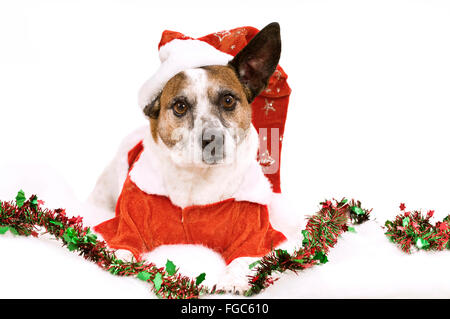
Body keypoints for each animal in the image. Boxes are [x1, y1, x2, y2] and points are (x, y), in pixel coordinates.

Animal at [88, 23, 302, 296]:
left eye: (228, 100)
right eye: (180, 106)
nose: (213, 139)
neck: (197, 178)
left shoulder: (255, 234)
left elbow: (247, 258)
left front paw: (234, 279)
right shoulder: (128, 223)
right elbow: (122, 246)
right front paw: (118, 262)